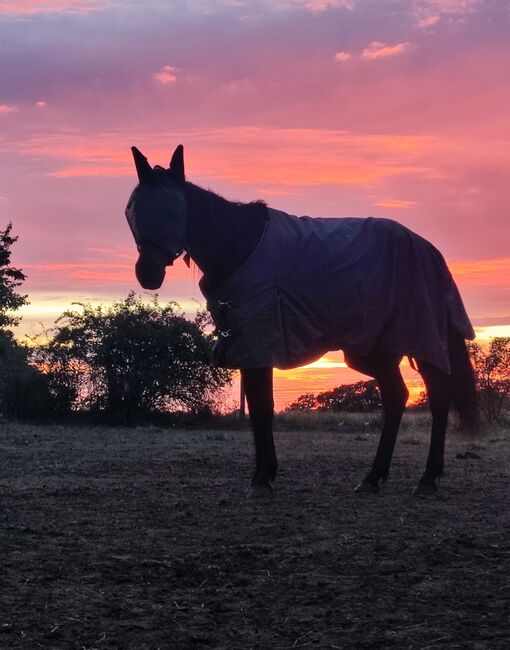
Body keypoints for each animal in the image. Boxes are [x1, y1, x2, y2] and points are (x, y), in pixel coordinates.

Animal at [123, 143, 478, 496]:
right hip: (377, 349)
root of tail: (428, 249)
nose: (147, 273)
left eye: (172, 209)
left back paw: (427, 478)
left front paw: (263, 478)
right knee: (396, 397)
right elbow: (257, 408)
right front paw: (261, 474)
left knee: (438, 396)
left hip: (421, 339)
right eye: (133, 212)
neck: (240, 248)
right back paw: (372, 477)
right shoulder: (245, 345)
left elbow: (262, 407)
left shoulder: (258, 343)